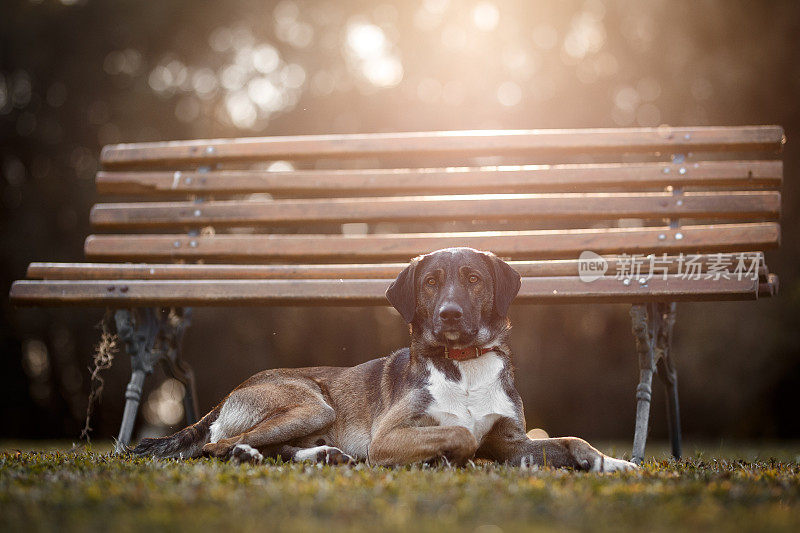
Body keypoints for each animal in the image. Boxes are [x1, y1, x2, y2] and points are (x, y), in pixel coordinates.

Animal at [136, 247, 636, 472]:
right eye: (431, 282)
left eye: (474, 279)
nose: (449, 313)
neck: (463, 363)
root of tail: (228, 395)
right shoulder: (389, 438)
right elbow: (460, 433)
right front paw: (451, 456)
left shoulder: (510, 440)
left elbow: (572, 441)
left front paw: (612, 463)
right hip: (313, 403)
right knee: (214, 446)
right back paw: (247, 452)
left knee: (272, 447)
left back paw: (322, 454)